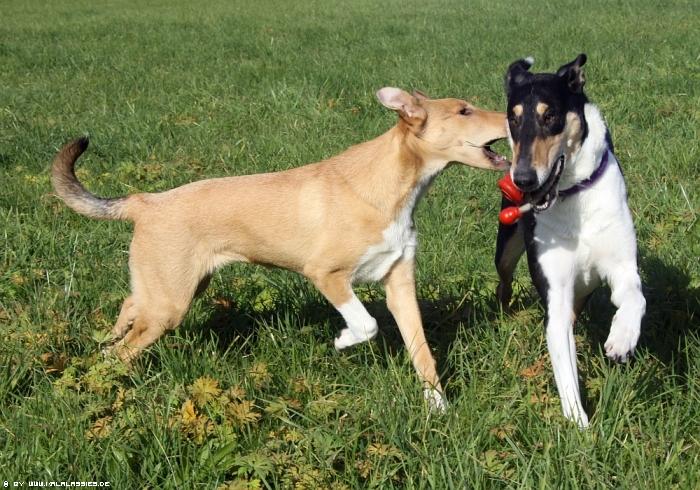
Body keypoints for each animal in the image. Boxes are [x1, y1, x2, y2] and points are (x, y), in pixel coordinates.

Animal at [52, 87, 509, 409]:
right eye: (464, 111)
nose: (511, 117)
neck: (393, 187)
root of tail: (144, 201)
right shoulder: (326, 274)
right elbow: (366, 324)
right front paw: (342, 340)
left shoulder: (400, 283)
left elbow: (423, 353)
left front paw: (438, 409)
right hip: (171, 303)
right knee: (124, 348)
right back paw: (106, 382)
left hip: (176, 287)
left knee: (129, 307)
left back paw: (103, 347)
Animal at [494, 55, 646, 427]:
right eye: (513, 119)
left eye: (550, 116)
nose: (523, 179)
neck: (574, 198)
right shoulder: (556, 292)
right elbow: (564, 368)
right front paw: (580, 426)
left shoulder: (621, 266)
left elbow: (634, 297)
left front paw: (622, 338)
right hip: (506, 249)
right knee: (504, 281)